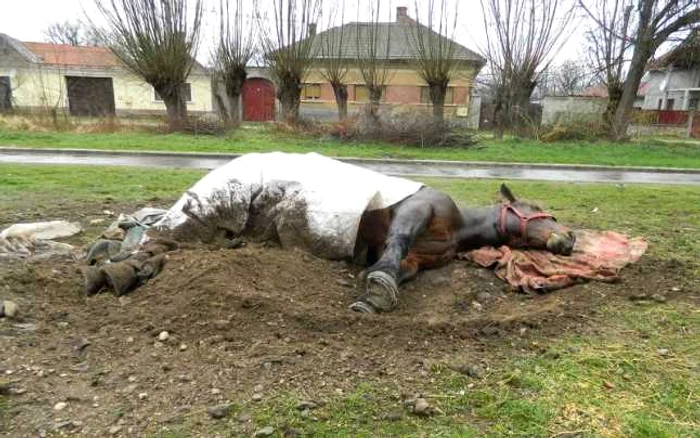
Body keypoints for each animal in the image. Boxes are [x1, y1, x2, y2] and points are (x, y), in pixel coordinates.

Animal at [350, 183, 576, 314]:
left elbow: (406, 270)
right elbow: (399, 239)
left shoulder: (419, 258)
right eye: (535, 207)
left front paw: (374, 297)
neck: (459, 227)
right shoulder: (418, 206)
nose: (571, 236)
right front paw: (381, 275)